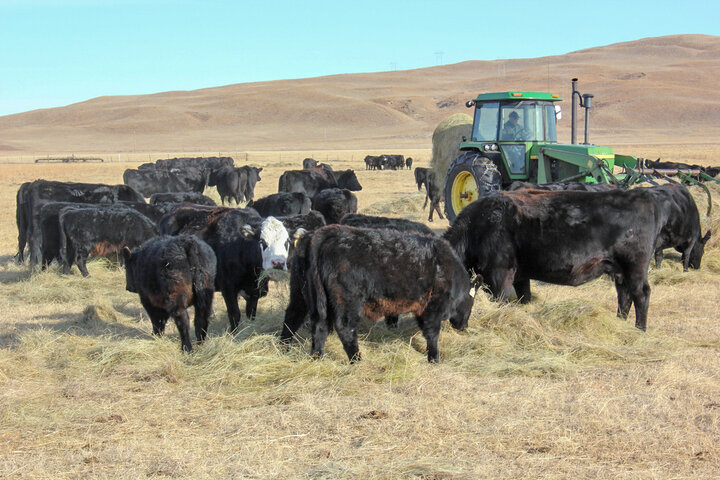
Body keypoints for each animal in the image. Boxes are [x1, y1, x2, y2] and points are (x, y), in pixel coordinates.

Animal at [282, 226, 472, 364]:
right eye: (470, 305)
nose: (464, 327)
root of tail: (322, 234)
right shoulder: (434, 306)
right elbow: (432, 333)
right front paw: (434, 358)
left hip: (301, 295)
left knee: (300, 319)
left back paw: (304, 353)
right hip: (348, 300)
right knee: (344, 328)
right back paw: (356, 359)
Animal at [444, 189, 668, 332]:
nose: (460, 327)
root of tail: (644, 195)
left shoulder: (499, 273)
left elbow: (501, 301)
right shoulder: (520, 275)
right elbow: (524, 298)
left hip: (635, 267)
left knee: (641, 294)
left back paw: (640, 330)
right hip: (619, 270)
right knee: (624, 295)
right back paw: (620, 323)